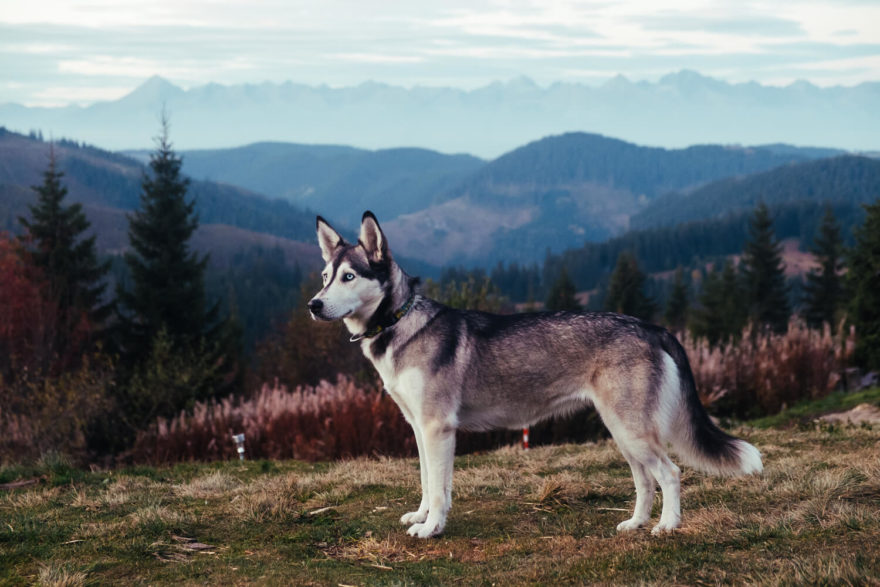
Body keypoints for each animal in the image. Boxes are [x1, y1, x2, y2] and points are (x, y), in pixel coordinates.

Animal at [310, 210, 764, 536]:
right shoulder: (420, 428)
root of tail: (651, 326)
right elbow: (428, 482)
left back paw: (667, 527)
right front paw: (421, 517)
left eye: (349, 276)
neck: (400, 322)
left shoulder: (438, 428)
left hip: (632, 430)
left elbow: (439, 490)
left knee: (669, 473)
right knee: (644, 480)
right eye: (325, 277)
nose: (313, 305)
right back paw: (636, 524)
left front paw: (432, 528)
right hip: (623, 432)